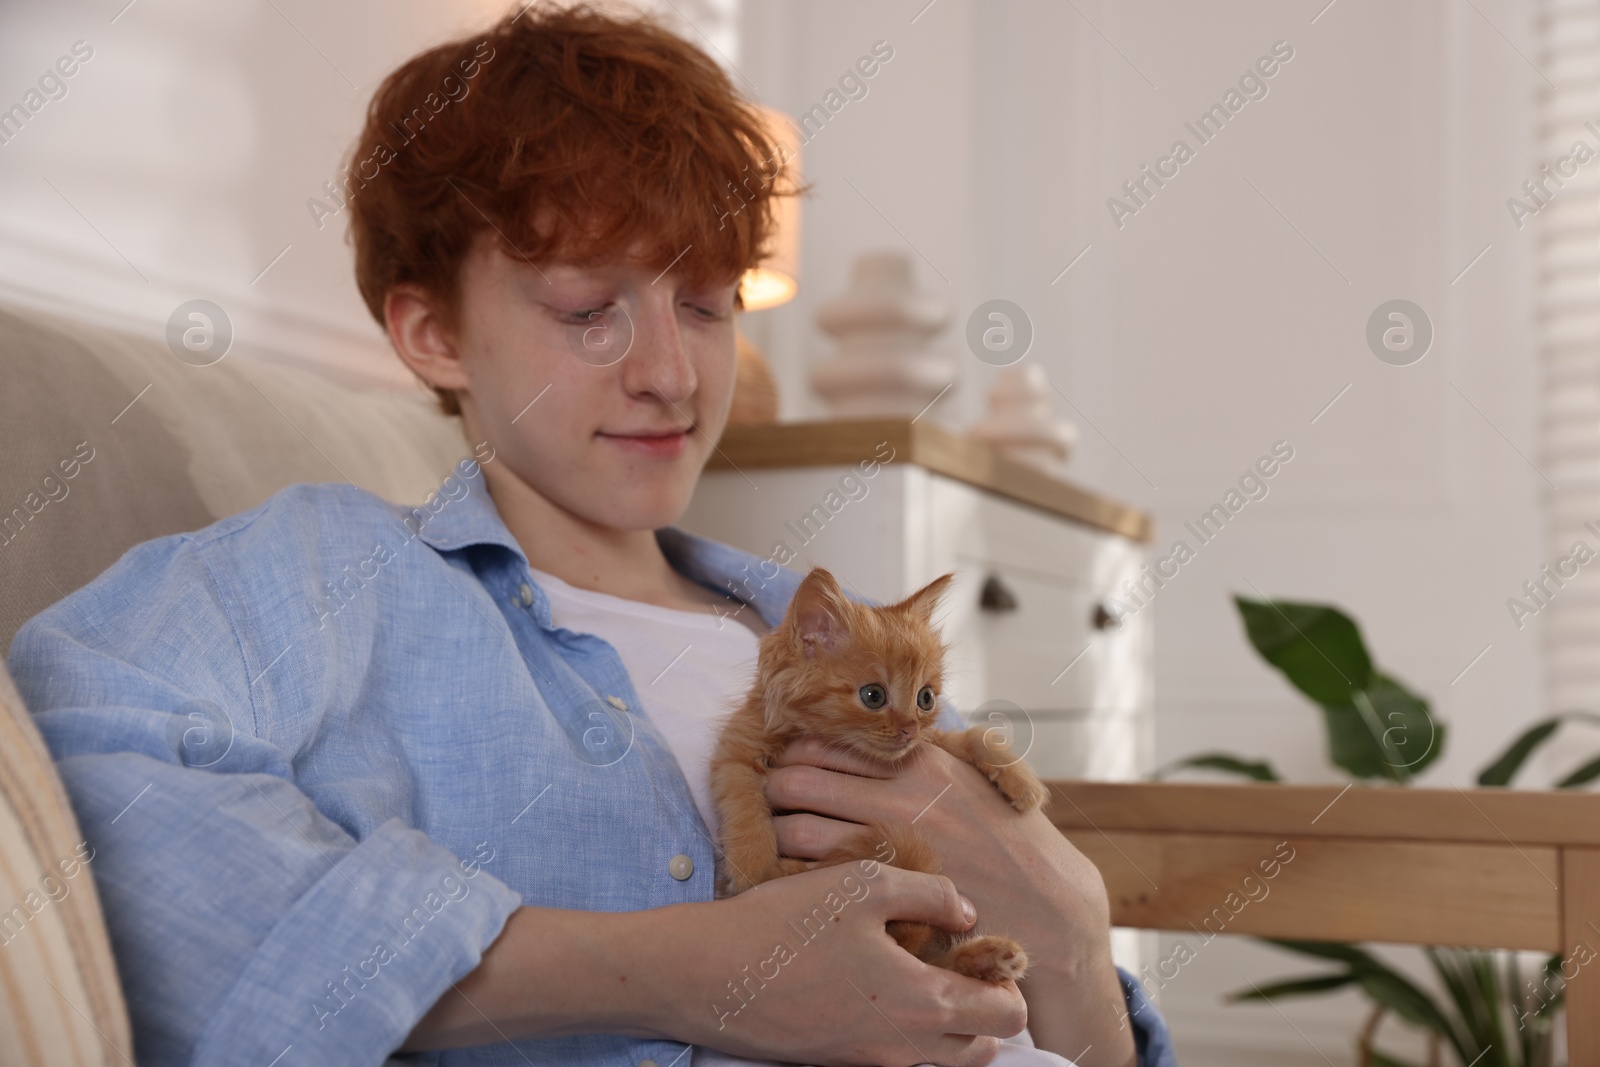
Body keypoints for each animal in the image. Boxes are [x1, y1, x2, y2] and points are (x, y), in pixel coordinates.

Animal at [713, 566, 1049, 985]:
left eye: (926, 698)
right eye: (873, 696)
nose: (909, 729)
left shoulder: (935, 739)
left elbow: (972, 735)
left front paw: (1021, 782)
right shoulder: (736, 751)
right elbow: (744, 804)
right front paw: (753, 866)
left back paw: (992, 958)